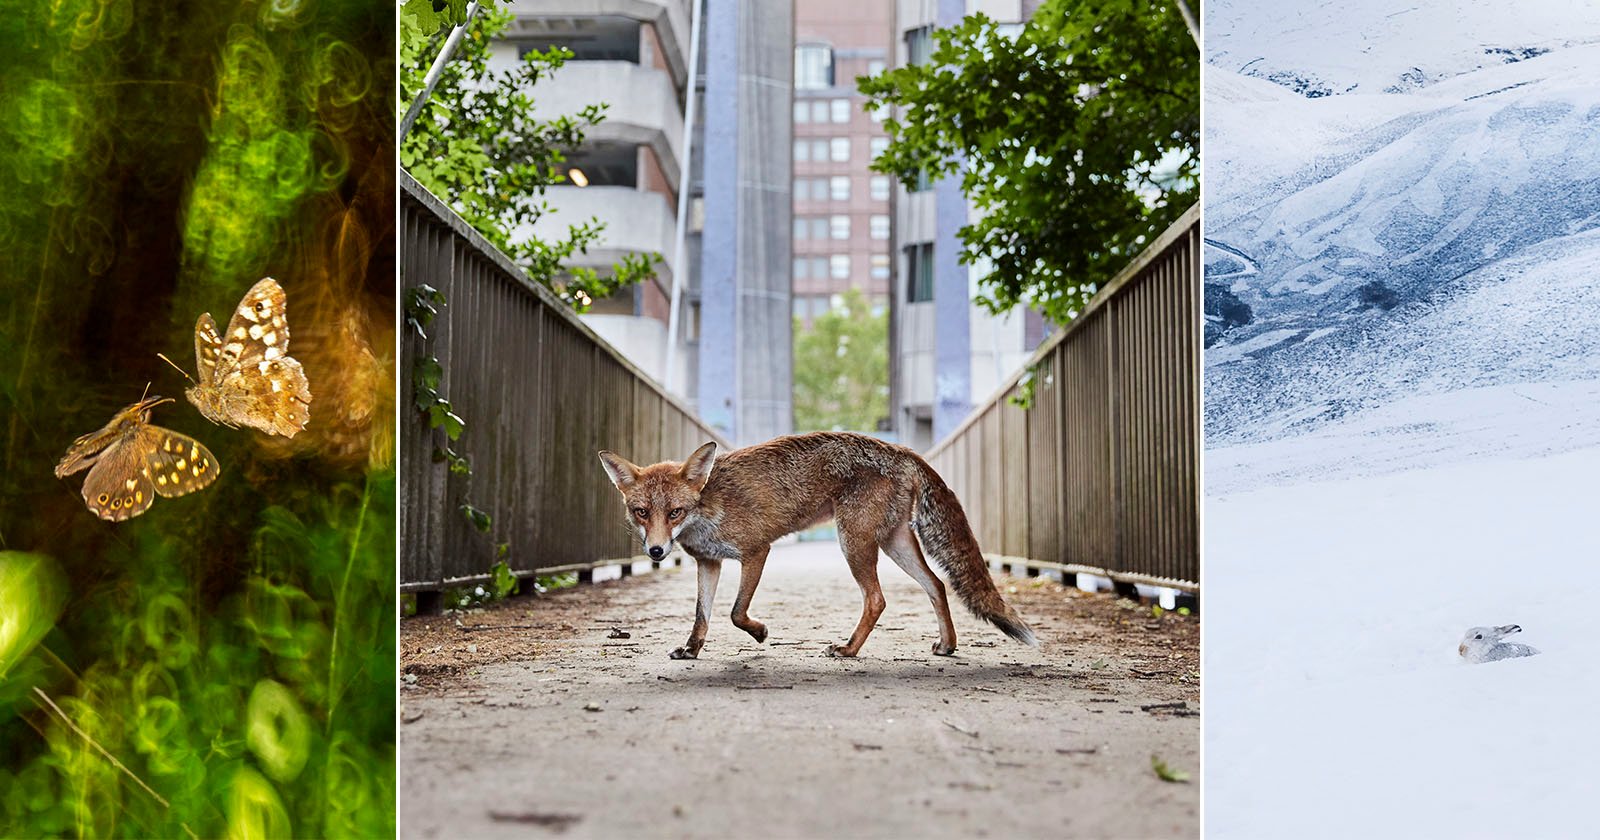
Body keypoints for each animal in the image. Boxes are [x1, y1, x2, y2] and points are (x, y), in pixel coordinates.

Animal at [598, 428, 1036, 659]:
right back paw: (947, 644)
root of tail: (900, 448)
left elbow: (736, 613)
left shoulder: (757, 552)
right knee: (938, 585)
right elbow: (702, 616)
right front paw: (691, 650)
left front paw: (760, 633)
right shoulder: (710, 563)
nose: (656, 552)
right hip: (894, 544)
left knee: (877, 599)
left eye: (674, 512)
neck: (707, 508)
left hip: (854, 543)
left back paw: (849, 650)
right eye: (641, 512)